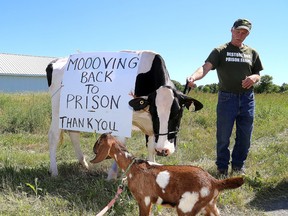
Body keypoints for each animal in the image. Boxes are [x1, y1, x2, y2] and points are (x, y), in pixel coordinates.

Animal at [45, 51, 202, 179]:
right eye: (154, 111)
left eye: (178, 112)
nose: (163, 150)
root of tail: (57, 61)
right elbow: (120, 143)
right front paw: (112, 176)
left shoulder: (151, 128)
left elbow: (151, 148)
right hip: (58, 109)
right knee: (53, 136)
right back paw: (54, 171)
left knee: (73, 133)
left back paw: (84, 164)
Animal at [91, 133, 244, 216]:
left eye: (98, 142)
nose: (93, 149)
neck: (133, 166)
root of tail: (214, 181)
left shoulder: (145, 201)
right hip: (210, 206)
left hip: (185, 207)